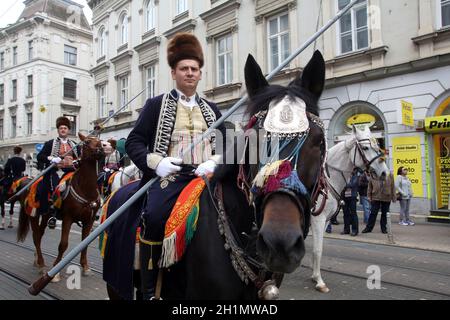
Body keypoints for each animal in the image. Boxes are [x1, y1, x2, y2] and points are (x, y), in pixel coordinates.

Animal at [17, 132, 104, 278]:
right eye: (86, 142)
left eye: (99, 140)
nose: (103, 149)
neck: (85, 189)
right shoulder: (68, 218)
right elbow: (63, 244)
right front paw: (55, 271)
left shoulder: (89, 220)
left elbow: (85, 243)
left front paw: (85, 267)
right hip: (34, 215)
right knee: (36, 237)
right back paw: (41, 264)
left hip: (45, 216)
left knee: (40, 234)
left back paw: (37, 261)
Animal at [312, 125, 388, 292]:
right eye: (365, 148)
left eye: (377, 146)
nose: (384, 172)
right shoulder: (317, 220)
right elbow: (317, 250)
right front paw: (319, 282)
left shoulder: (325, 221)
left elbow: (317, 248)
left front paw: (314, 276)